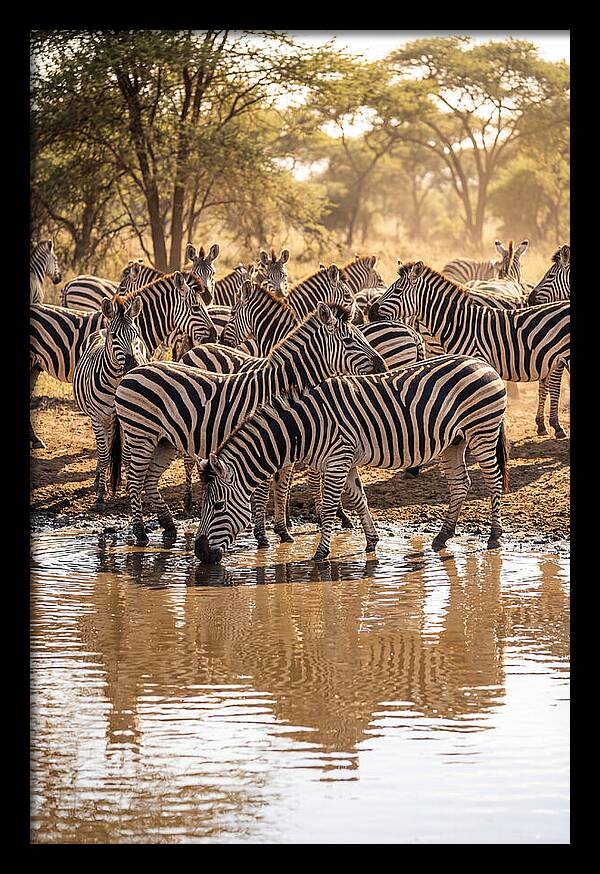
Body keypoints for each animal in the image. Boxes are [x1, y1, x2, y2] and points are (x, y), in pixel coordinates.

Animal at [30, 271, 217, 448]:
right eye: (195, 308)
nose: (214, 336)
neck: (141, 324)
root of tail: (69, 285)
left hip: (35, 366)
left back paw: (36, 440)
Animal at [73, 295, 148, 511]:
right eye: (115, 336)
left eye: (136, 334)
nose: (133, 366)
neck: (116, 383)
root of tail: (101, 330)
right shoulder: (99, 419)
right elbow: (104, 454)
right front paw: (100, 495)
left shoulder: (130, 420)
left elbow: (127, 455)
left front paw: (132, 488)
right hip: (99, 420)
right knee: (102, 451)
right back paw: (99, 480)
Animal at [110, 303, 387, 546]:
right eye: (349, 341)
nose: (382, 365)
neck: (280, 386)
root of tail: (131, 372)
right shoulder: (265, 442)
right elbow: (263, 493)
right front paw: (262, 537)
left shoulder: (286, 445)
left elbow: (282, 488)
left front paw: (283, 532)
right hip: (141, 435)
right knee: (134, 480)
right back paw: (141, 533)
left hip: (164, 441)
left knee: (149, 481)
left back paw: (168, 526)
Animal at [193, 354, 509, 564]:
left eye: (218, 506)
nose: (199, 552)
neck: (305, 426)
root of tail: (483, 363)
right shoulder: (345, 461)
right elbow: (359, 500)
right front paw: (371, 541)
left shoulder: (338, 460)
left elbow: (329, 509)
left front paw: (320, 554)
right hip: (453, 442)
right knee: (461, 484)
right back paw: (443, 536)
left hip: (482, 430)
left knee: (493, 481)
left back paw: (494, 536)